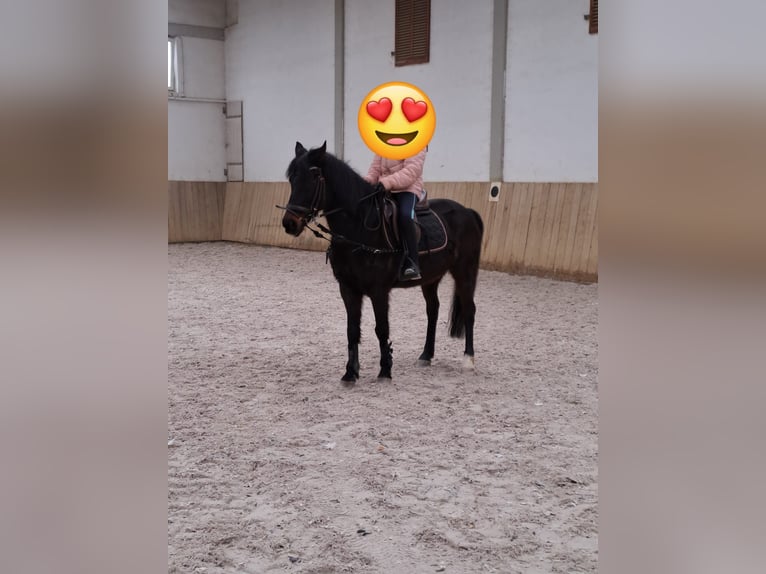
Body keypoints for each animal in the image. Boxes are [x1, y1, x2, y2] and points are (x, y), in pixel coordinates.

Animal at [282, 141, 484, 383]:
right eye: (292, 179)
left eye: (313, 178)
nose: (289, 223)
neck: (359, 227)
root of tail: (468, 211)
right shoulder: (348, 288)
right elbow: (352, 330)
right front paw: (350, 373)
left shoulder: (379, 291)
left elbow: (381, 329)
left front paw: (385, 370)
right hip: (430, 278)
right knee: (432, 310)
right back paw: (426, 355)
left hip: (465, 271)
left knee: (469, 310)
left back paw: (468, 360)